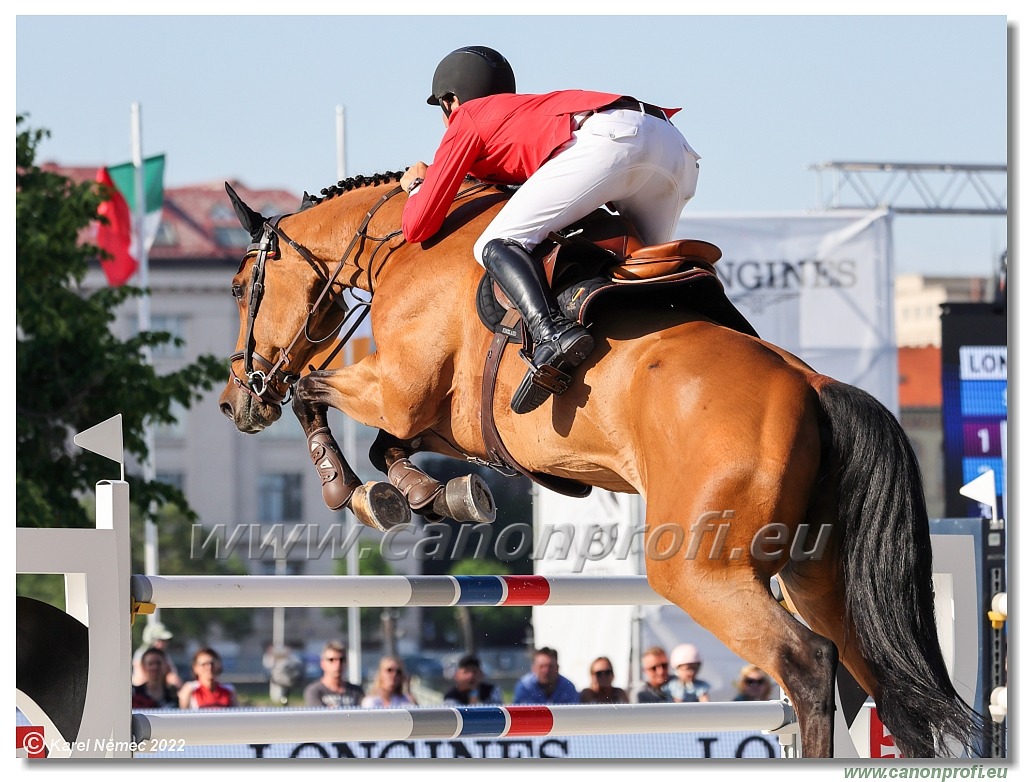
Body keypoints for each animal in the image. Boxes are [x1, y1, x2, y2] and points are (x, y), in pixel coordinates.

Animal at [218, 170, 991, 757]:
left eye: (239, 285)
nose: (235, 401)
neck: (403, 245)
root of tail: (815, 386)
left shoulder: (401, 389)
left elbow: (317, 395)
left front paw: (351, 490)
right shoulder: (448, 421)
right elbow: (391, 445)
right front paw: (434, 495)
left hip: (700, 570)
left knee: (806, 663)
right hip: (820, 575)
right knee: (888, 685)